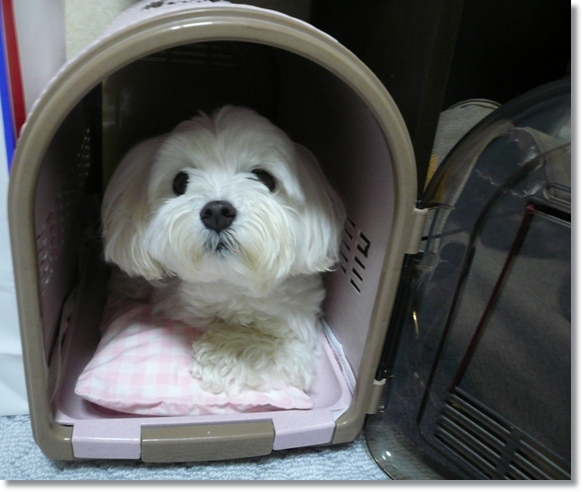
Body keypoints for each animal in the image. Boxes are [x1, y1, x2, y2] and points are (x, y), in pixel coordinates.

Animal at [101, 106, 346, 394]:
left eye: (263, 178)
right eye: (180, 181)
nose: (217, 212)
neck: (228, 283)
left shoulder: (300, 340)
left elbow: (270, 347)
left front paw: (219, 354)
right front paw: (130, 283)